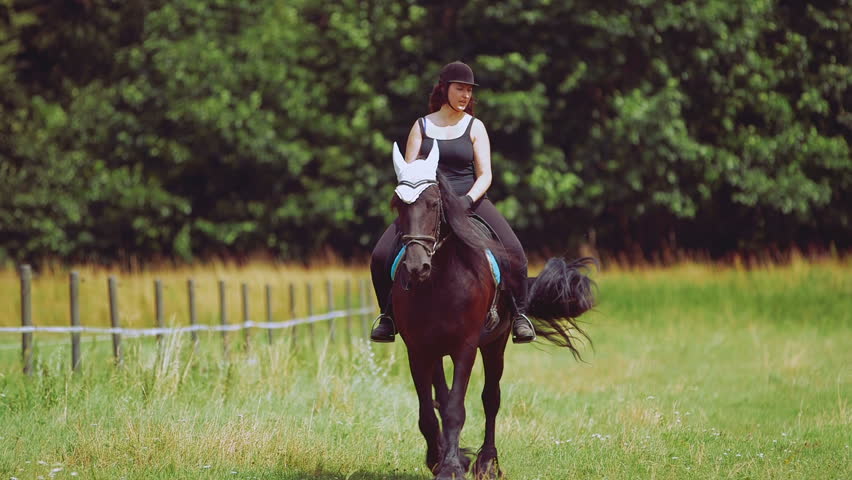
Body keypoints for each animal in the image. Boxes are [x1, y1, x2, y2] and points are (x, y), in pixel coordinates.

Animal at [392, 171, 596, 478]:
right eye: (397, 206)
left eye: (433, 204)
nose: (417, 267)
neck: (439, 283)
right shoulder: (418, 349)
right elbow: (429, 411)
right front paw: (440, 459)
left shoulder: (465, 347)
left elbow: (456, 409)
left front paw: (451, 467)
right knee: (442, 397)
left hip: (494, 346)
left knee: (491, 399)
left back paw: (487, 463)